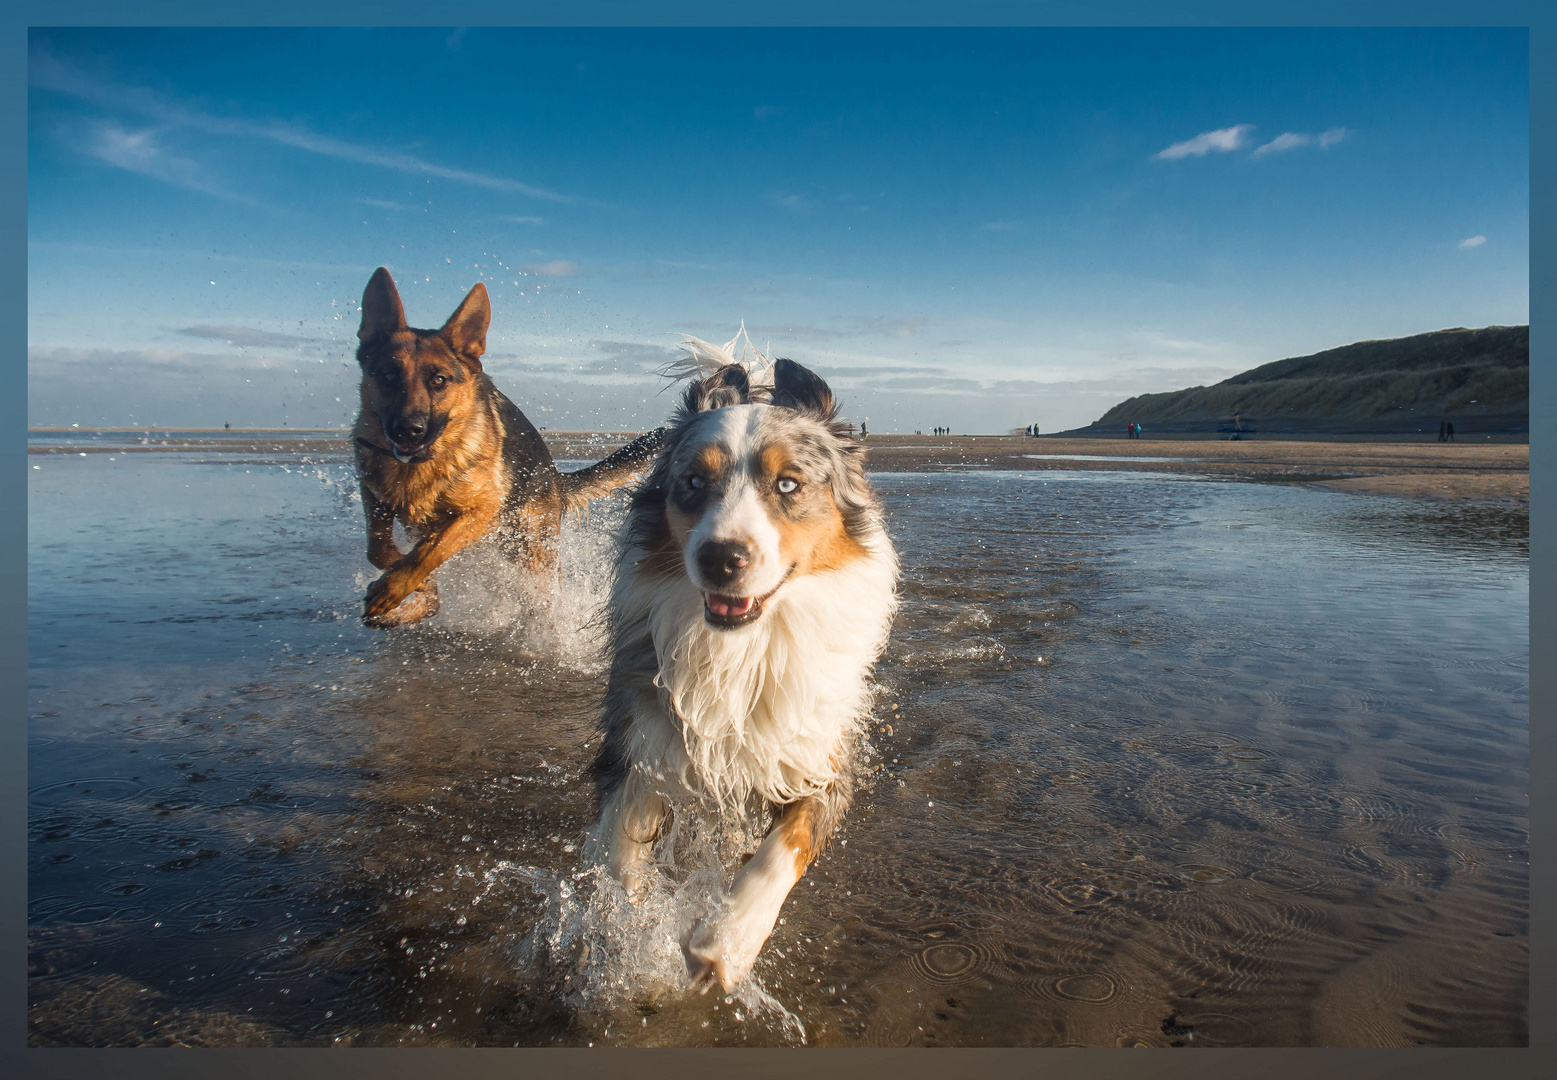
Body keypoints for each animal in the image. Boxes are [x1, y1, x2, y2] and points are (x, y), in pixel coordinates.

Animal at [353, 266, 663, 631]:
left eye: (439, 380)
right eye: (388, 375)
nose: (408, 430)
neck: (425, 462)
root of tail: (554, 477)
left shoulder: (480, 509)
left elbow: (430, 551)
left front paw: (398, 586)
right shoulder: (372, 492)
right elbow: (380, 550)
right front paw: (411, 587)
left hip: (530, 552)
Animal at [585, 334, 903, 995]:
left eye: (787, 485)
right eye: (692, 481)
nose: (720, 557)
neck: (745, 648)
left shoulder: (822, 753)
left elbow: (785, 848)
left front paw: (725, 943)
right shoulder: (640, 733)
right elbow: (620, 848)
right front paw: (624, 927)